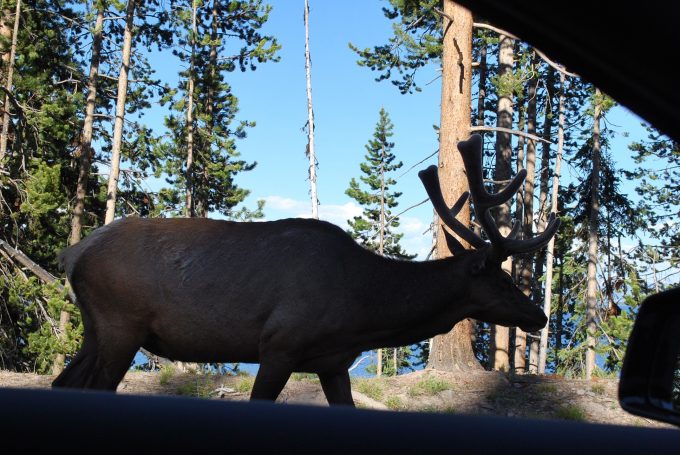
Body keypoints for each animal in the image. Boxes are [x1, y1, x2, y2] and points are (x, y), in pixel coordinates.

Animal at [53, 134, 560, 406]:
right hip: (121, 326)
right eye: (502, 278)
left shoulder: (332, 363)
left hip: (97, 331)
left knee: (64, 382)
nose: (539, 316)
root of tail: (72, 254)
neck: (366, 314)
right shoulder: (279, 344)